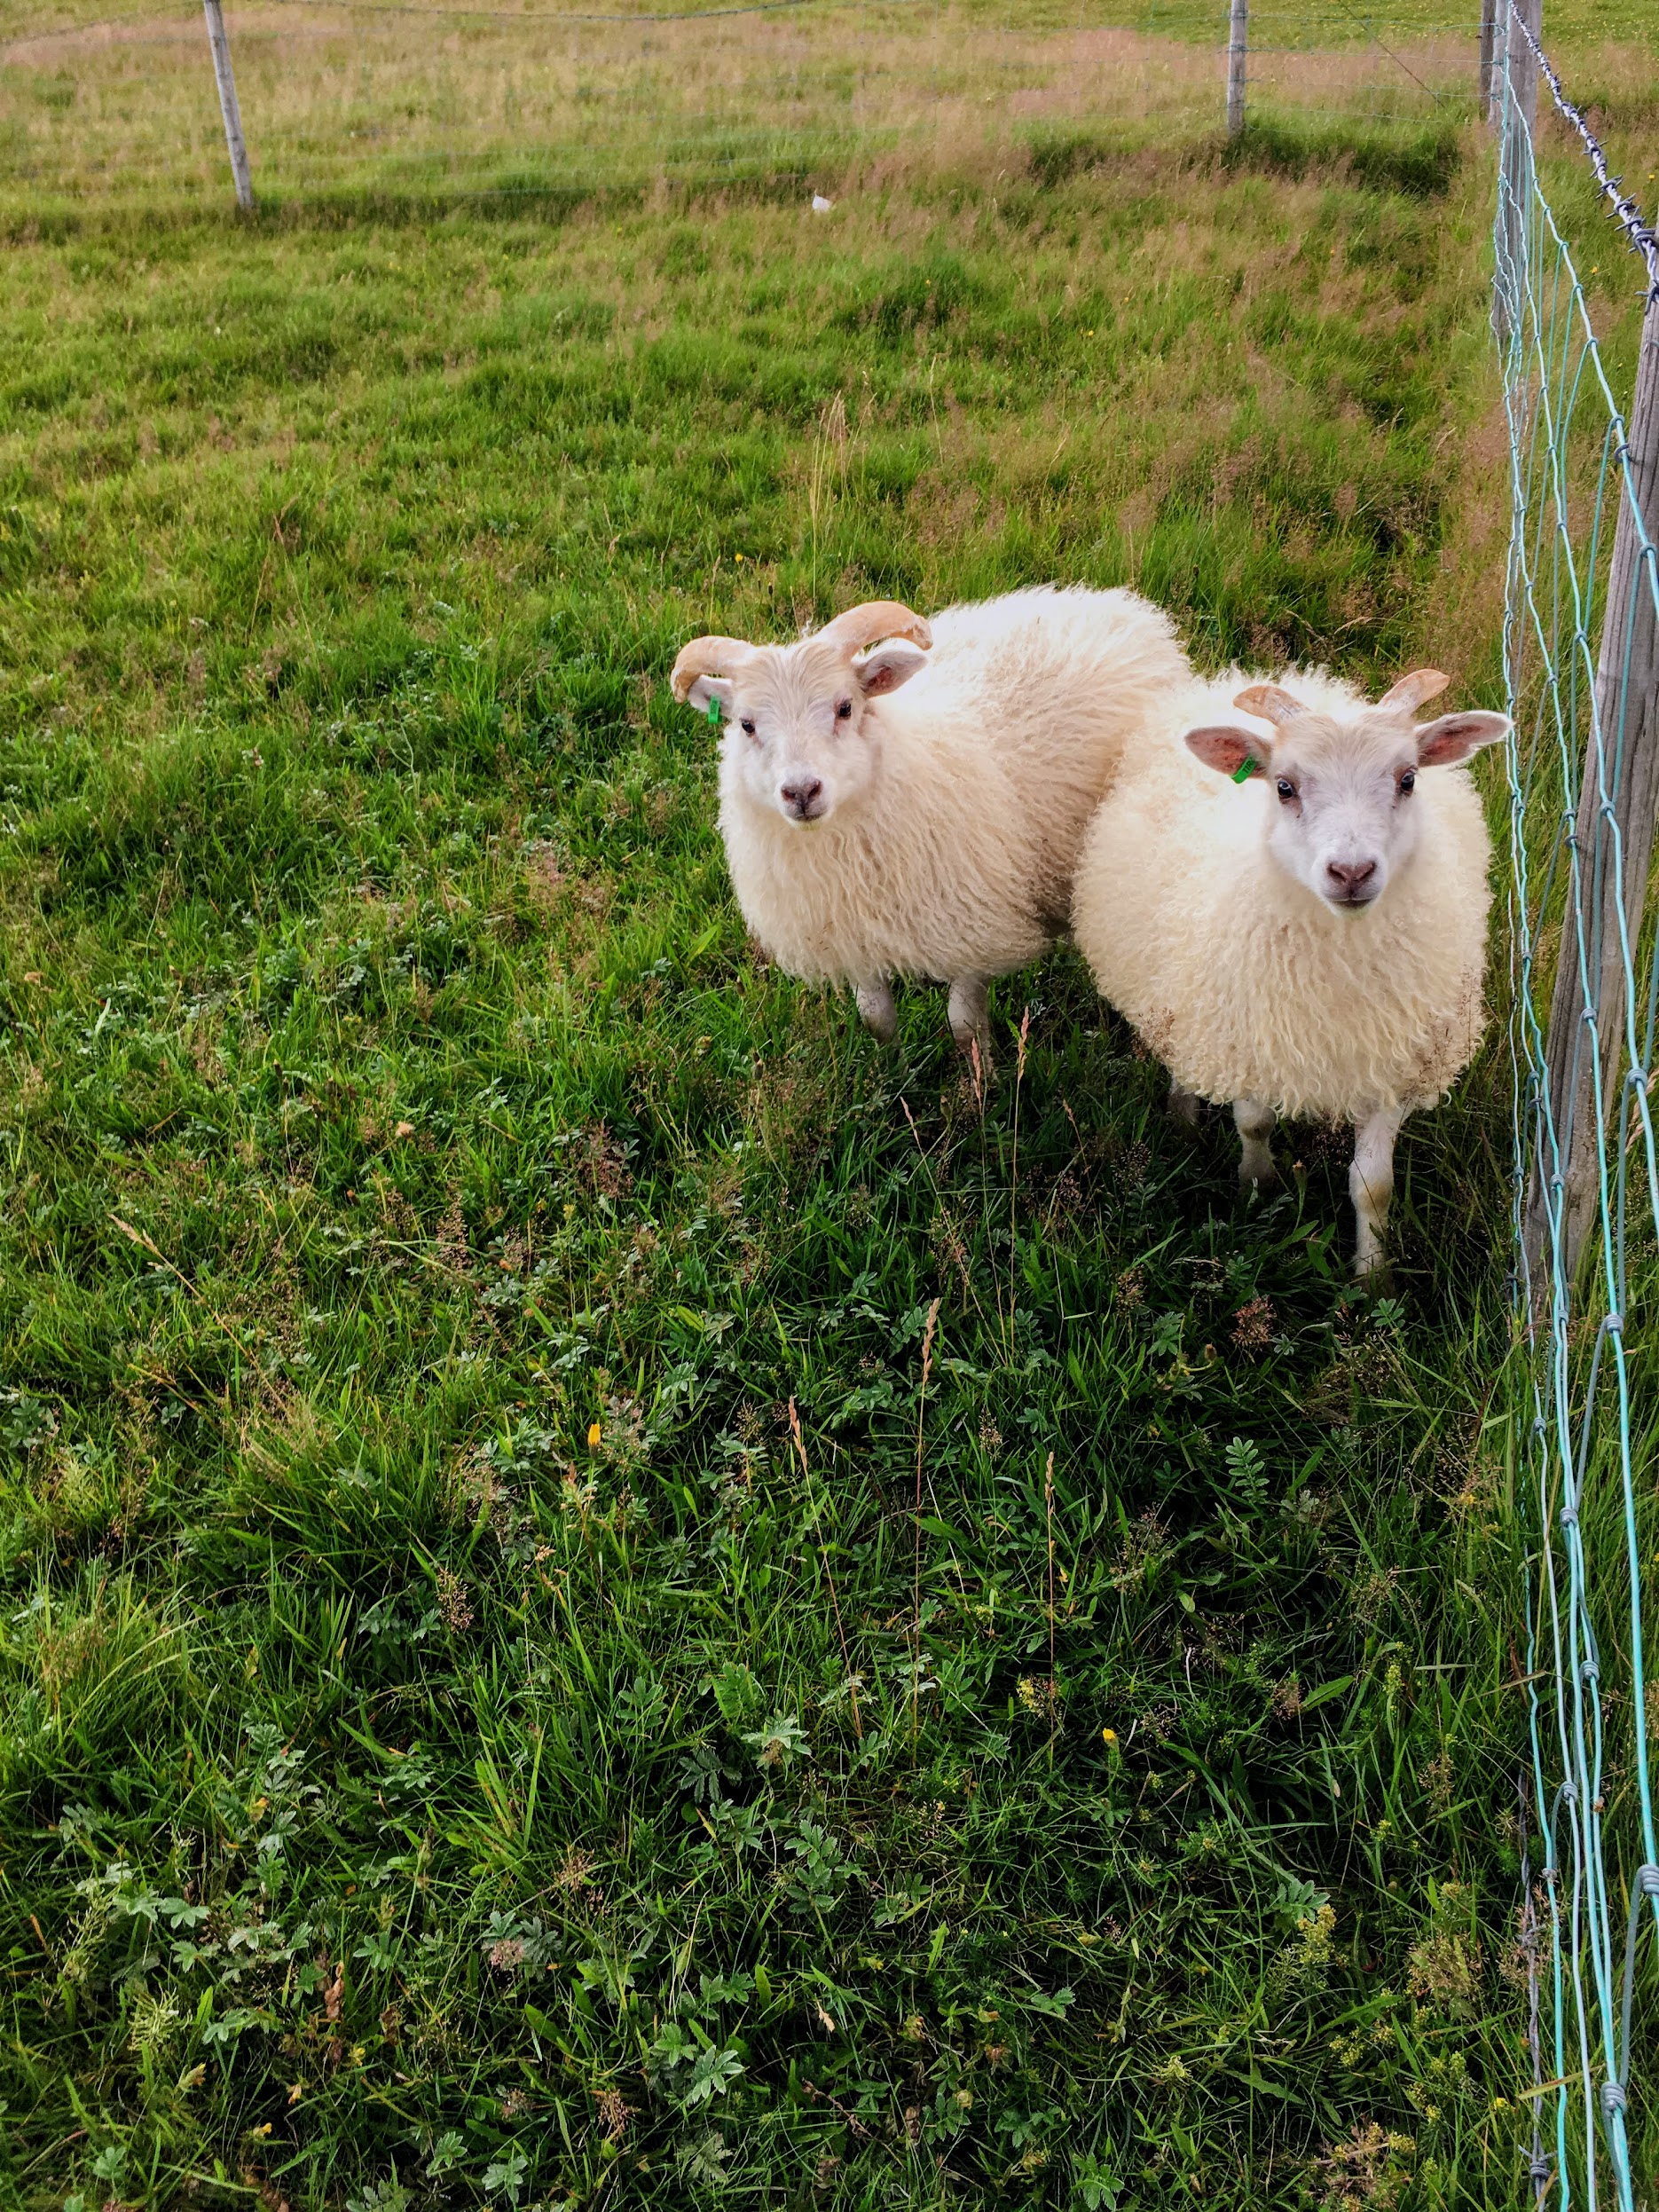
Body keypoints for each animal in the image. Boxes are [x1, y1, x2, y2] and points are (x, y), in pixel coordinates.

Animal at [667, 588, 1185, 1052]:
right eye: (746, 725)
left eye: (845, 707)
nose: (800, 792)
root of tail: (1118, 605)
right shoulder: (853, 932)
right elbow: (875, 1016)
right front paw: (892, 1071)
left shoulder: (975, 926)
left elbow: (963, 1023)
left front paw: (982, 1085)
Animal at [1070, 663, 1513, 1273]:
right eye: (1284, 787)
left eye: (1407, 779)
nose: (1351, 872)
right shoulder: (1247, 1040)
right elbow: (1254, 1124)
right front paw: (1257, 1189)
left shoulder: (1395, 1066)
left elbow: (1373, 1187)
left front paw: (1373, 1277)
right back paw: (1183, 1116)